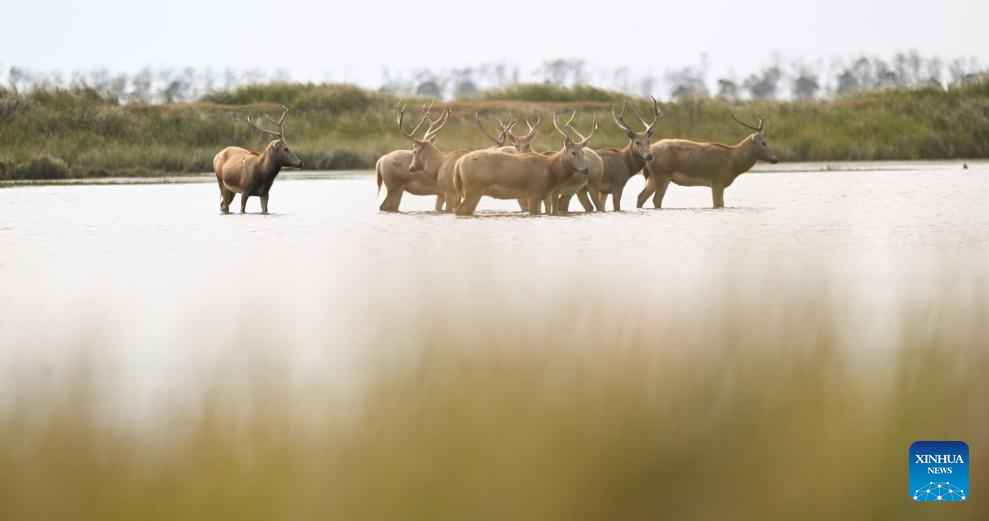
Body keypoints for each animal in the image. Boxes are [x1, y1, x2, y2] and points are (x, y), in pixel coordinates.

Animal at [454, 112, 596, 216]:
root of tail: (459, 163)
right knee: (461, 210)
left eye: (583, 152)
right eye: (573, 152)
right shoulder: (533, 193)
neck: (550, 171)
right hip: (473, 190)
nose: (586, 169)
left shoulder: (542, 196)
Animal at [640, 114, 780, 209]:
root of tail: (649, 153)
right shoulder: (717, 181)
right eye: (763, 142)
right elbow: (718, 204)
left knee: (641, 197)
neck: (732, 158)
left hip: (653, 178)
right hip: (663, 177)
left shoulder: (718, 184)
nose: (775, 159)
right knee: (656, 200)